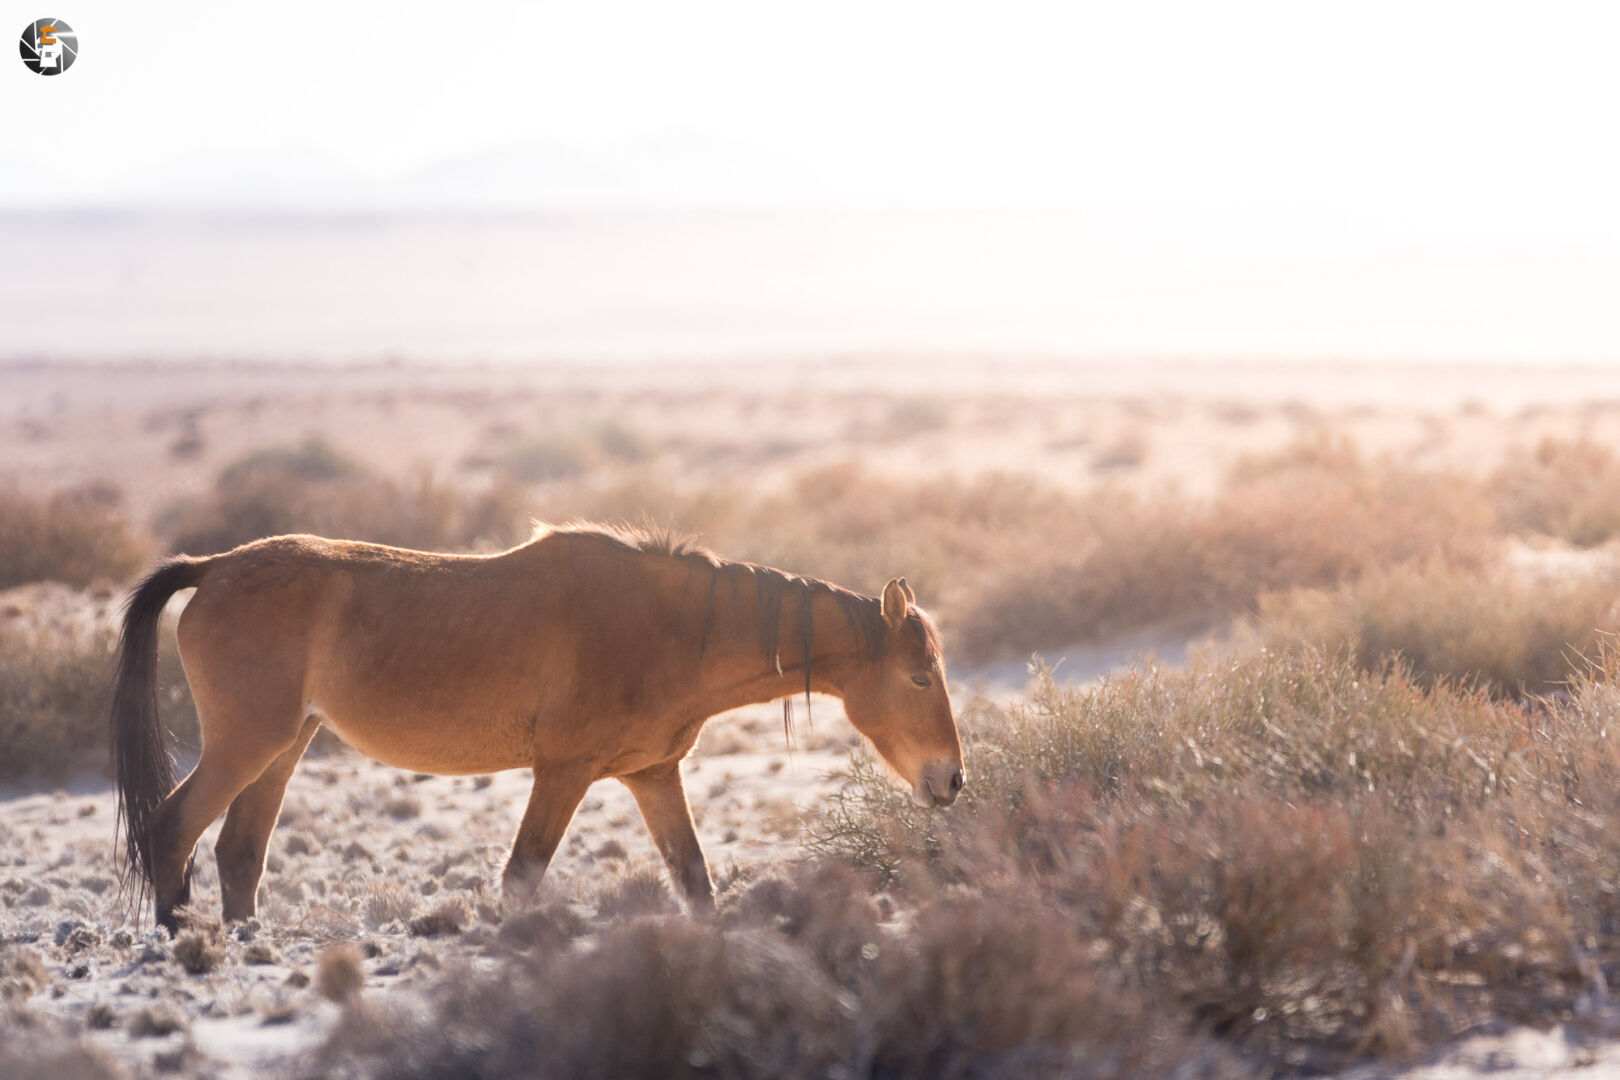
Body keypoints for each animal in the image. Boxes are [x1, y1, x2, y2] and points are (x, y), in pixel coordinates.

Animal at [109, 524, 965, 930]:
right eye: (920, 676)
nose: (953, 780)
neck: (667, 627)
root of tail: (213, 567)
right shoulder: (564, 772)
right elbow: (521, 877)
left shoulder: (651, 776)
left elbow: (694, 881)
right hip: (247, 744)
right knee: (173, 830)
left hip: (287, 744)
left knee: (237, 853)